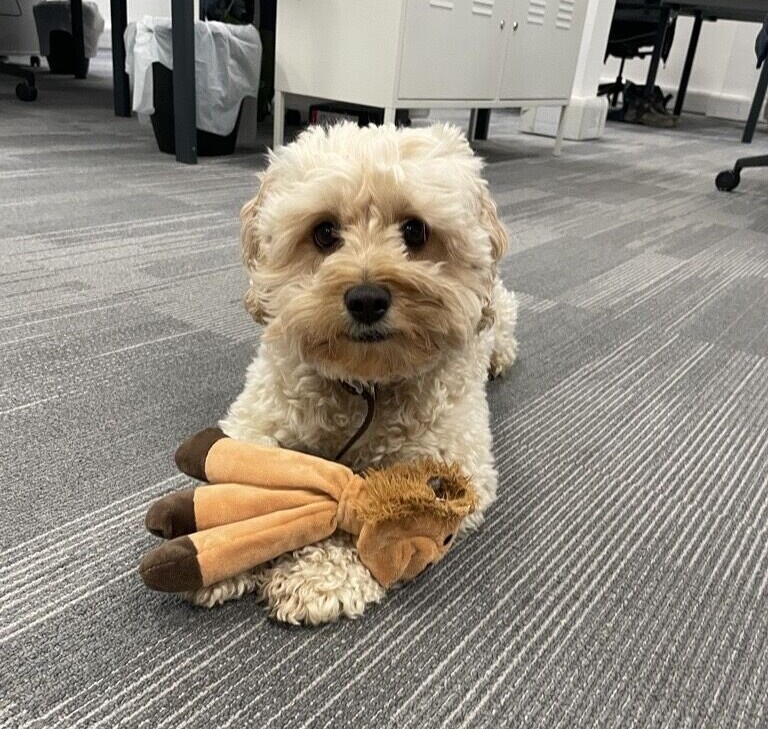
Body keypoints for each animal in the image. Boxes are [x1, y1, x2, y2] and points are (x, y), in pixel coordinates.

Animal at [189, 122, 518, 624]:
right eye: (324, 233)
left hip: (499, 311)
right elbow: (238, 480)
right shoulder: (258, 415)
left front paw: (320, 574)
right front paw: (223, 544)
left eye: (415, 230)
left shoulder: (454, 462)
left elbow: (369, 506)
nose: (366, 299)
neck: (366, 384)